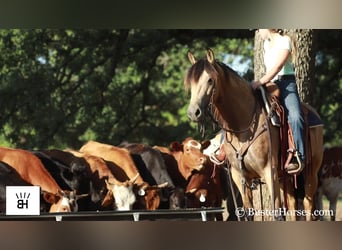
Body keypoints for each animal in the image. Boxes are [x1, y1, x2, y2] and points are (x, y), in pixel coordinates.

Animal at [186, 47, 324, 220]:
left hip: (311, 172)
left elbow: (277, 212)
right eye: (190, 82)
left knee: (308, 205)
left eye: (210, 80)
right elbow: (248, 213)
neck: (243, 126)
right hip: (286, 177)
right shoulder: (238, 176)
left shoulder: (269, 172)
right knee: (293, 206)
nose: (193, 112)